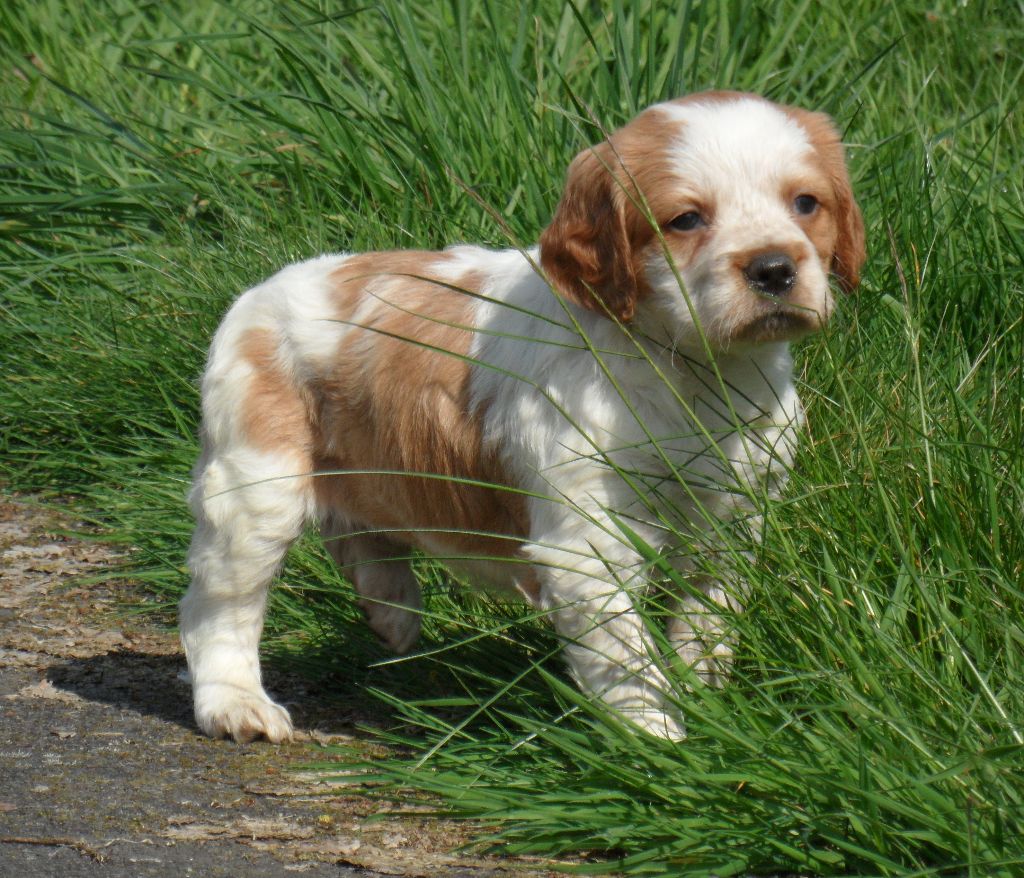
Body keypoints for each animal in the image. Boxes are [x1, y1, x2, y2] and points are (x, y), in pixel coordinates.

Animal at [180, 90, 864, 743]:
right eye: (687, 219)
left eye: (806, 203)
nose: (774, 268)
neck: (690, 367)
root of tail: (259, 291)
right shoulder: (589, 541)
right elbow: (628, 662)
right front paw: (659, 740)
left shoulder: (734, 517)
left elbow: (707, 623)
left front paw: (708, 698)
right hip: (254, 488)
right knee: (218, 607)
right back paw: (236, 704)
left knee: (361, 530)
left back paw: (392, 611)